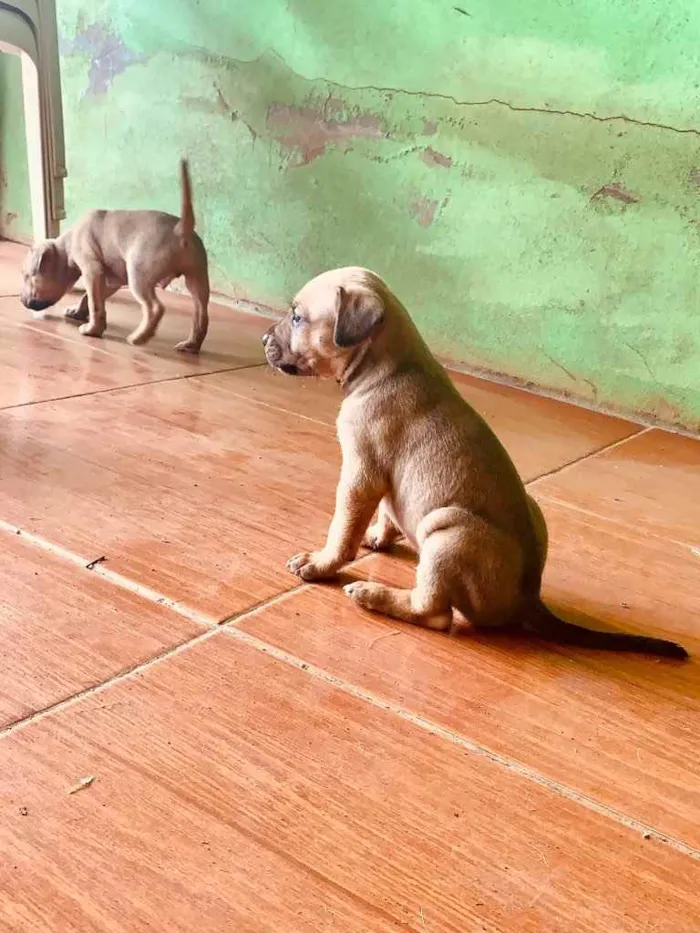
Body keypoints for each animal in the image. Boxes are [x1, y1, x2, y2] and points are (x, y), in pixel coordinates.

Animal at [20, 158, 209, 352]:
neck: (67, 244)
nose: (21, 300)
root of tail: (179, 230)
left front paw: (92, 330)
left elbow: (94, 302)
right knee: (201, 314)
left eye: (27, 276)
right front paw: (78, 312)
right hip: (197, 279)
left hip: (139, 275)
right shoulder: (112, 280)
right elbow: (91, 297)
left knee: (155, 308)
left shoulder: (92, 270)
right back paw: (191, 345)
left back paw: (139, 337)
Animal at [264, 264, 688, 656]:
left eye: (298, 317)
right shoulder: (379, 480)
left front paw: (321, 563)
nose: (265, 338)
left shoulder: (360, 473)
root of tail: (528, 599)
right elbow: (383, 512)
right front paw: (378, 537)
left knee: (434, 613)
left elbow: (341, 529)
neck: (384, 365)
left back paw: (374, 595)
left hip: (449, 536)